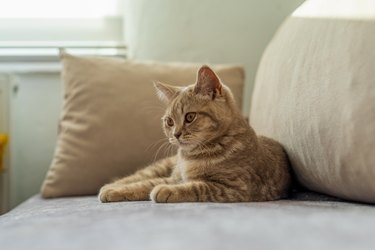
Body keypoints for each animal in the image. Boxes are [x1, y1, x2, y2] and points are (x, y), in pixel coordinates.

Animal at [98, 65, 292, 203]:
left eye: (190, 117)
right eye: (169, 121)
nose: (175, 134)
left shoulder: (237, 187)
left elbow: (197, 187)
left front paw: (166, 191)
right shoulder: (175, 177)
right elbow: (148, 182)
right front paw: (116, 190)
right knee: (141, 175)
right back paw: (112, 184)